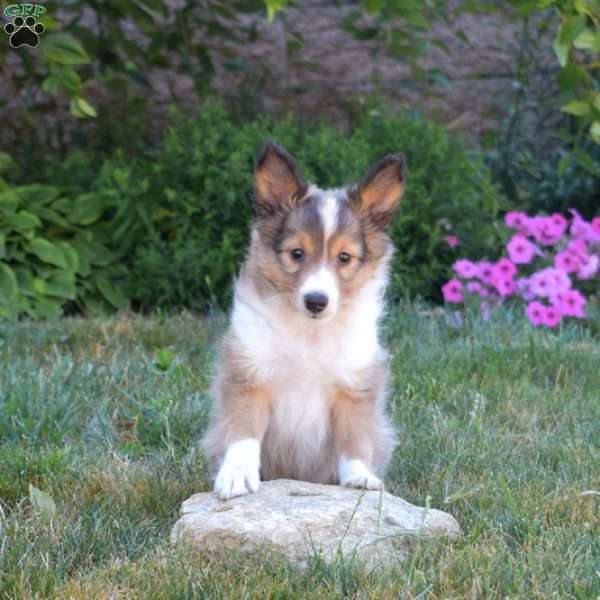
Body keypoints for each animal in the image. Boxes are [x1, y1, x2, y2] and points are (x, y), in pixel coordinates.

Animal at [204, 143, 406, 500]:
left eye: (344, 258)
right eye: (297, 253)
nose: (316, 301)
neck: (309, 333)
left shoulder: (354, 385)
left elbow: (354, 436)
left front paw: (360, 477)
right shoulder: (248, 374)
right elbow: (242, 432)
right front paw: (237, 475)